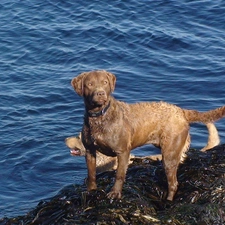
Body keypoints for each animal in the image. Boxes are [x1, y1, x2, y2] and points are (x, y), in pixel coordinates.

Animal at [71, 70, 224, 200]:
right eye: (90, 84)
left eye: (105, 82)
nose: (101, 93)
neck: (99, 117)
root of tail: (181, 111)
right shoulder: (90, 151)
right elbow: (91, 174)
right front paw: (91, 191)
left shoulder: (123, 152)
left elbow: (119, 175)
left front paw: (115, 193)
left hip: (170, 153)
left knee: (173, 183)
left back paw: (168, 201)